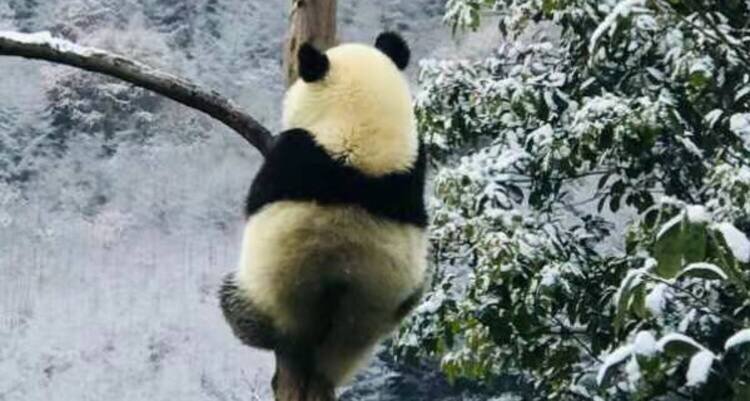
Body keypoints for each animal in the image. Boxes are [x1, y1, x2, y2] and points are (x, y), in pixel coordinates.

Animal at [219, 32, 427, 388]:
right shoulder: (415, 170)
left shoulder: (292, 155)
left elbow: (257, 198)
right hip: (392, 305)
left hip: (270, 297)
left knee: (238, 305)